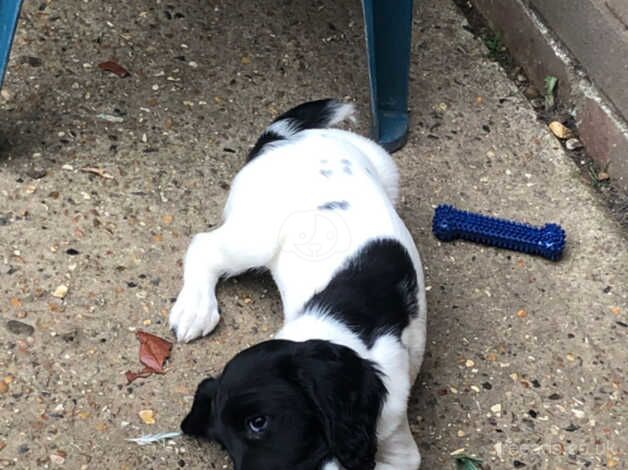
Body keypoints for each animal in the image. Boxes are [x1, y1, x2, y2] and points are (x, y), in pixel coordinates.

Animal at [169, 100, 426, 470]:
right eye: (223, 443)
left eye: (258, 422)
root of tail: (287, 139)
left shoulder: (398, 447)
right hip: (255, 235)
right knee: (205, 246)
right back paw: (195, 307)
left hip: (385, 170)